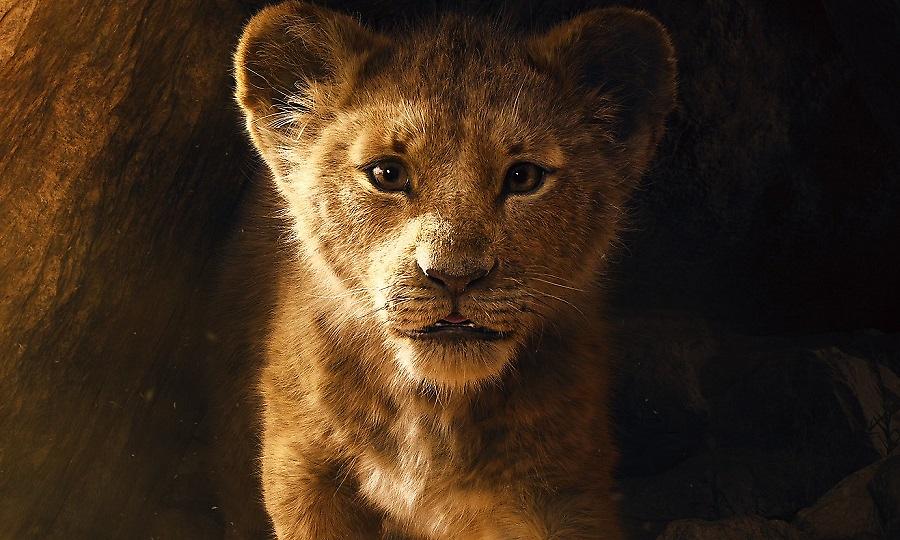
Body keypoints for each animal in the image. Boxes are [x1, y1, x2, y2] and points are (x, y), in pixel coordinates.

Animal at [220, 1, 676, 538]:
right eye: (387, 174)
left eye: (524, 177)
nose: (454, 274)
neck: (434, 414)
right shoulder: (303, 472)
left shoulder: (568, 490)